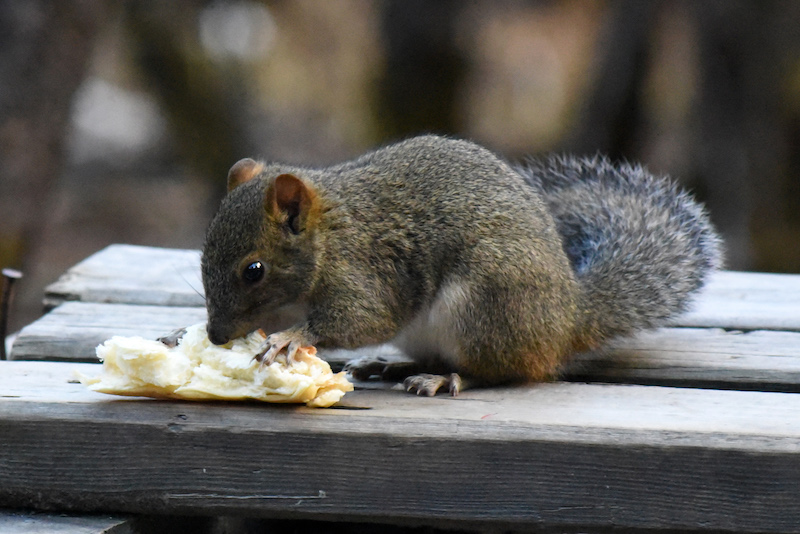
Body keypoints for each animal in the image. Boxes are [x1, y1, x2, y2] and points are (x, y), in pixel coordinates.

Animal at [198, 136, 720, 398]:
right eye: (203, 249)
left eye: (253, 270)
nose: (217, 336)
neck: (330, 235)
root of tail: (569, 319)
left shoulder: (366, 270)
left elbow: (363, 319)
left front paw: (291, 337)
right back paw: (393, 365)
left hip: (483, 308)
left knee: (503, 373)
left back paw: (447, 378)